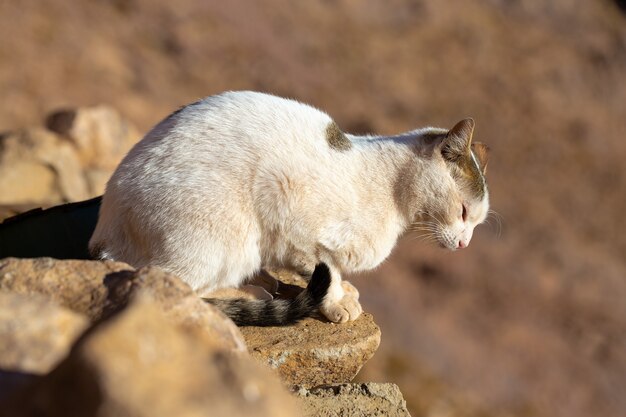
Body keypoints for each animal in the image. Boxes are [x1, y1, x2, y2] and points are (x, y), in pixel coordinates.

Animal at [89, 90, 488, 324]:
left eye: (476, 223)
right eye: (464, 212)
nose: (465, 243)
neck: (393, 193)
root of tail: (104, 234)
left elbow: (333, 272)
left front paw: (344, 291)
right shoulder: (292, 220)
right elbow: (327, 272)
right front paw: (337, 301)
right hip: (226, 237)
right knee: (175, 284)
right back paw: (247, 292)